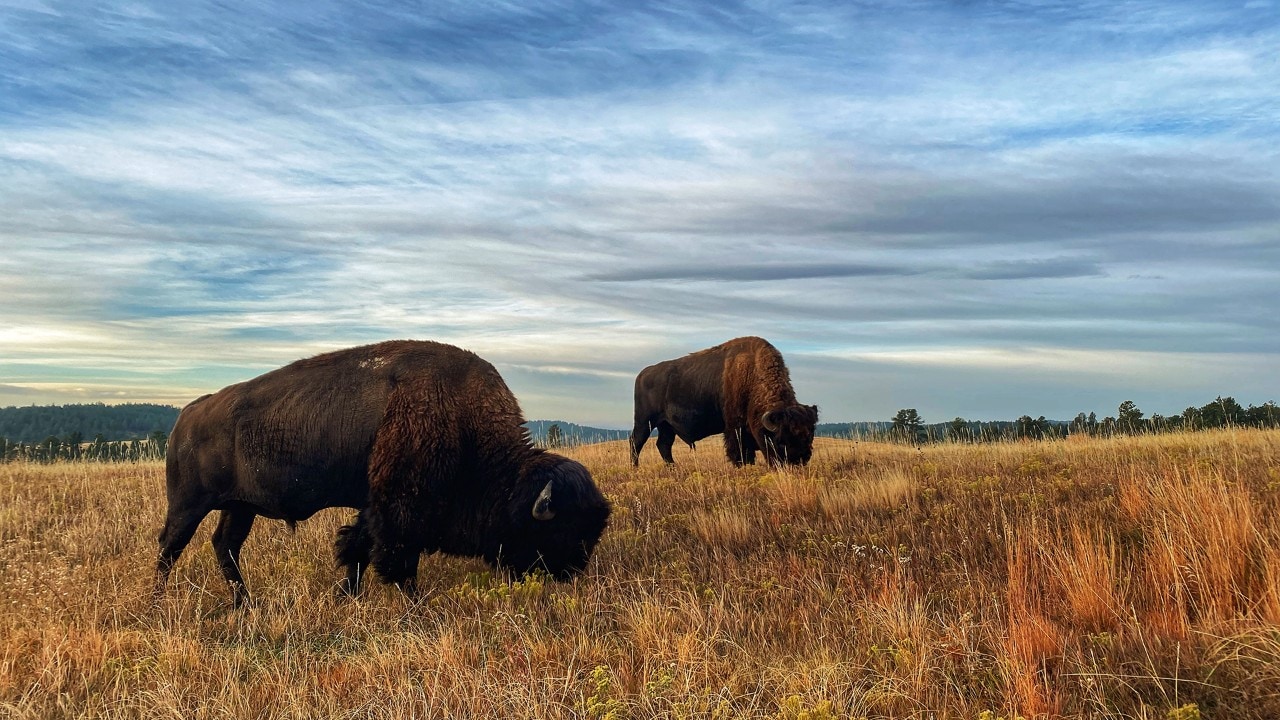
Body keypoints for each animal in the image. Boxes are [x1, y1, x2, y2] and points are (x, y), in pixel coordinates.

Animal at [154, 338, 614, 602]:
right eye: (560, 529)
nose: (571, 575)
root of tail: (187, 415)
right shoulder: (399, 511)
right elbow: (396, 561)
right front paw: (415, 605)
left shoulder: (374, 507)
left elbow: (356, 548)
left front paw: (346, 598)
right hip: (188, 505)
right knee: (170, 547)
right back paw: (159, 602)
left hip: (241, 506)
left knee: (225, 545)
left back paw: (245, 605)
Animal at [629, 335, 819, 466]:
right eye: (779, 439)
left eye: (809, 436)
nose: (798, 460)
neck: (752, 376)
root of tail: (642, 374)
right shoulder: (734, 428)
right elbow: (738, 452)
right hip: (645, 421)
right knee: (636, 441)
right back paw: (635, 468)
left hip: (666, 425)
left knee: (663, 445)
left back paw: (672, 468)